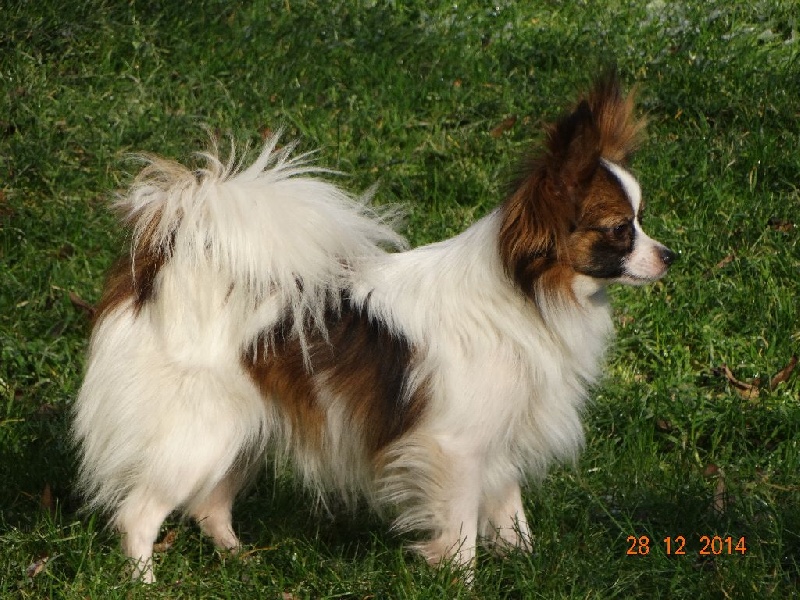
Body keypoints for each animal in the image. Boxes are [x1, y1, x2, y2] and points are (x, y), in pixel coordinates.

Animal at [74, 72, 675, 582]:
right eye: (620, 230)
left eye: (641, 221)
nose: (670, 256)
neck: (530, 294)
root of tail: (156, 273)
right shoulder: (454, 448)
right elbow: (461, 530)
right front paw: (462, 582)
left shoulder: (499, 441)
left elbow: (510, 516)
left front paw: (526, 566)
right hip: (196, 437)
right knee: (139, 514)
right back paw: (144, 582)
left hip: (242, 433)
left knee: (209, 505)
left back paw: (240, 560)